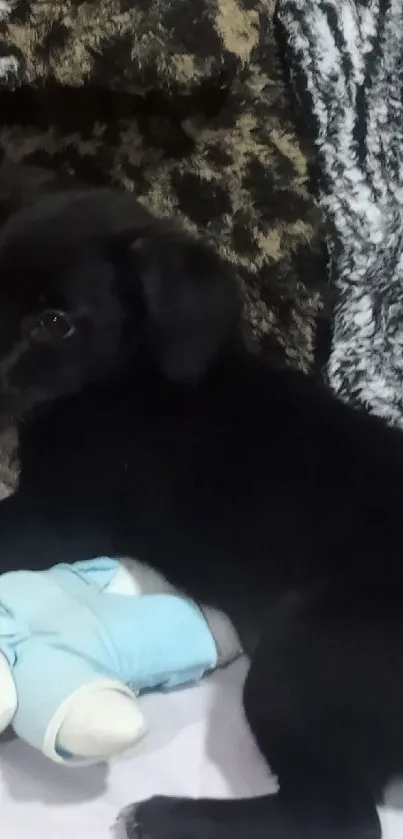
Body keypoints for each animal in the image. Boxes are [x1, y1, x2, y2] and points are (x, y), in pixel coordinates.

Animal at [0, 169, 403, 839]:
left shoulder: (63, 515)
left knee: (339, 816)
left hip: (304, 655)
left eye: (55, 323)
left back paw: (163, 814)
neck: (129, 383)